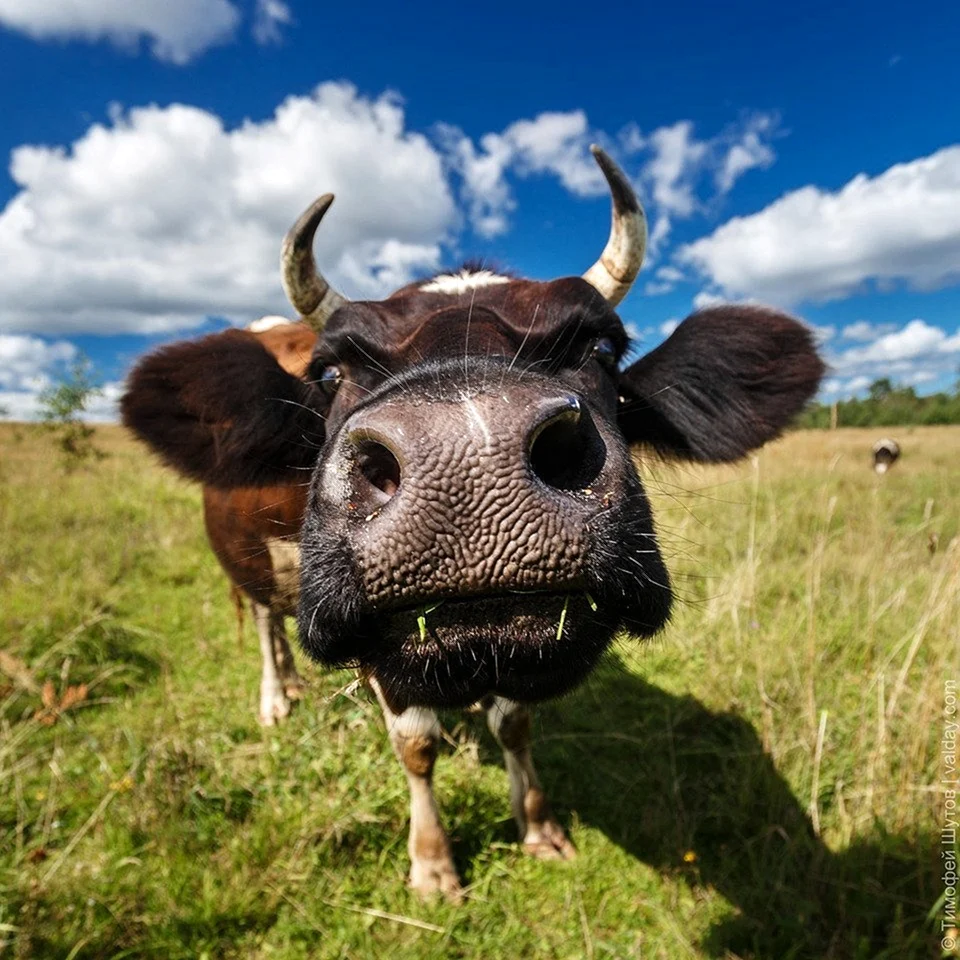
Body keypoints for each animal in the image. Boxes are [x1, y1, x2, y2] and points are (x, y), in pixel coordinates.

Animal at [121, 146, 824, 899]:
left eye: (603, 350)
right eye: (330, 373)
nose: (469, 459)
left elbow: (514, 724)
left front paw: (538, 826)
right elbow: (416, 744)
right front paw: (432, 863)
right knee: (262, 618)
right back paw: (277, 697)